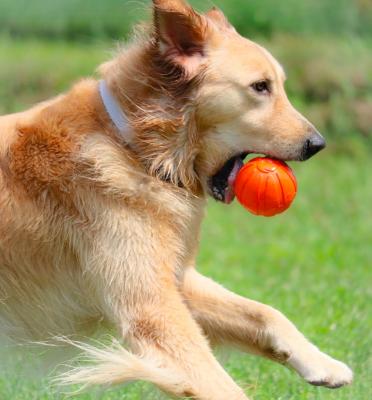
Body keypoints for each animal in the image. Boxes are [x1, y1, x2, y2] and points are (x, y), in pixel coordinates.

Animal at [0, 1, 352, 398]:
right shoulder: (153, 309)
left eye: (278, 86)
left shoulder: (173, 277)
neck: (135, 148)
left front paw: (322, 363)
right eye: (260, 87)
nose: (318, 144)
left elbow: (264, 312)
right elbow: (222, 384)